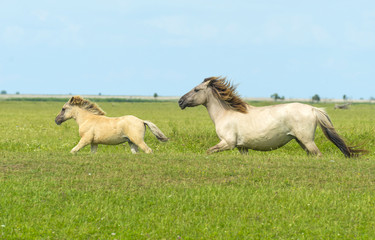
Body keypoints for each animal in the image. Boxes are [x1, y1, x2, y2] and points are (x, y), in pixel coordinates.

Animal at [179, 76, 368, 157]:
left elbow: (209, 151)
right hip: (301, 141)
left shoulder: (228, 143)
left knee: (318, 155)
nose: (180, 101)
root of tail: (313, 109)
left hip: (307, 141)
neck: (226, 114)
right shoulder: (242, 147)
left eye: (196, 89)